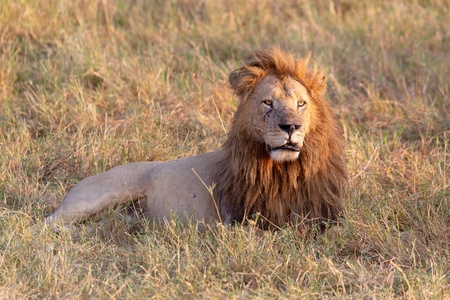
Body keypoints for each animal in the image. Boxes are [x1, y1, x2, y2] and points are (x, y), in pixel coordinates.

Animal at [46, 47, 348, 230]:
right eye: (268, 102)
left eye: (301, 103)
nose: (291, 127)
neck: (285, 172)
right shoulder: (240, 221)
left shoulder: (325, 214)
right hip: (93, 197)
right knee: (49, 224)